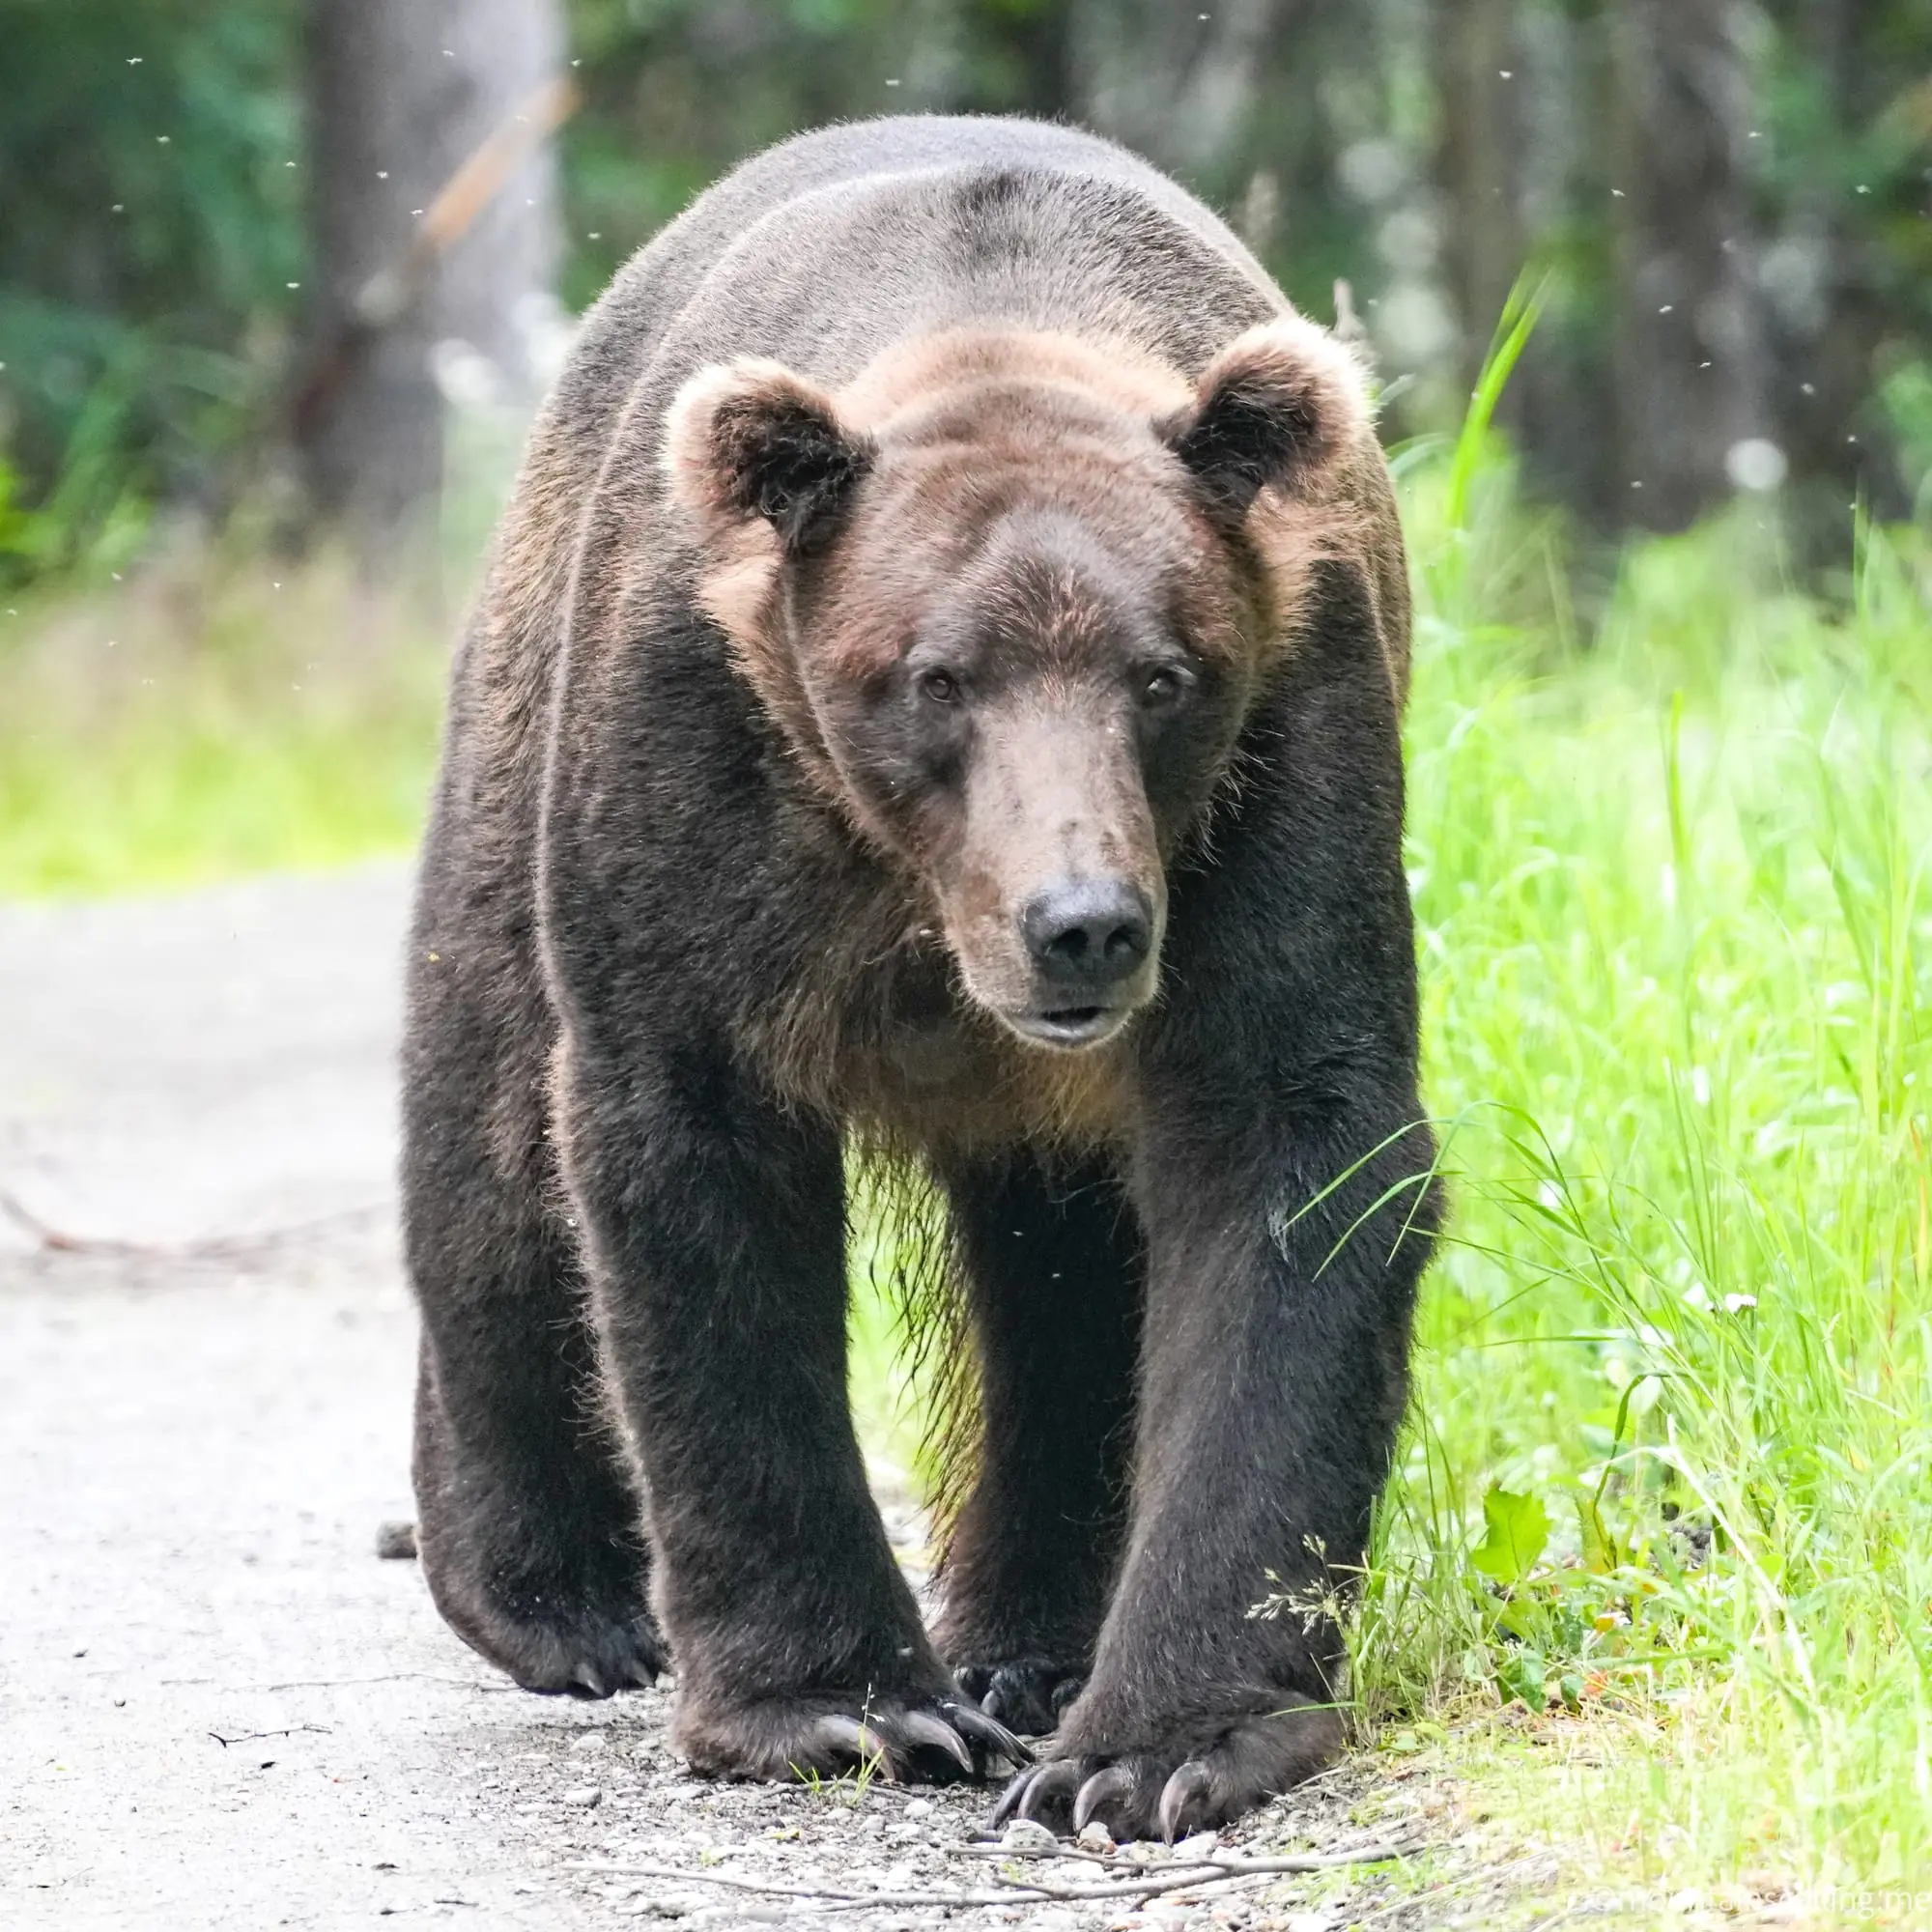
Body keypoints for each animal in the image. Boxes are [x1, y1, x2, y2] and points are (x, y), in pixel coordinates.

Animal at [401, 113, 1439, 1843]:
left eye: (1164, 675)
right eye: (934, 677)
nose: (1082, 923)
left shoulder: (1283, 760)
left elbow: (1291, 1145)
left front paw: (1155, 1744)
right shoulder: (698, 761)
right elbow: (685, 1156)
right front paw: (842, 1706)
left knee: (1066, 1280)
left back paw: (1029, 1648)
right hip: (521, 706)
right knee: (485, 1106)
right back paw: (556, 1595)